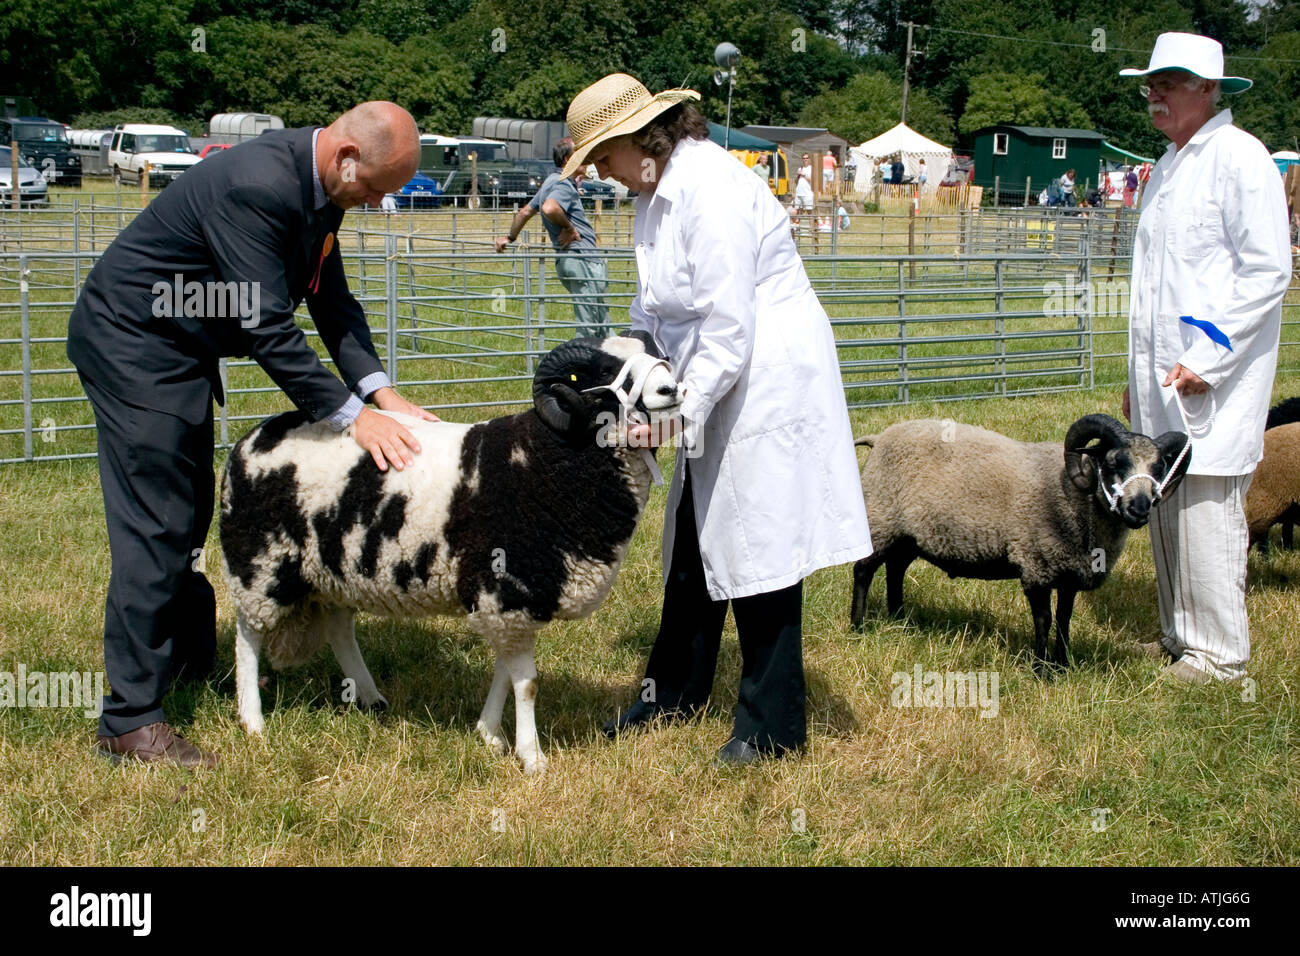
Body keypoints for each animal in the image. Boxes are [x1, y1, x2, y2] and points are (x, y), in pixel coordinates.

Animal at [219, 332, 681, 775]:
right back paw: (253, 721)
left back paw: (370, 698)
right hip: (260, 563)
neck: (544, 458)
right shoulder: (508, 592)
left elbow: (504, 672)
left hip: (332, 568)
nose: (671, 388)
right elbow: (526, 683)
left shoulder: (506, 603)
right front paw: (531, 758)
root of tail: (251, 438)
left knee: (338, 629)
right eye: (607, 372)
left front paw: (490, 735)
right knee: (248, 636)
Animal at [847, 416, 1190, 676]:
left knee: (896, 568)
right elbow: (1044, 620)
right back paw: (858, 627)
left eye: (1159, 468)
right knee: (864, 569)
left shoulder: (1069, 572)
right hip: (882, 516)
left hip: (909, 534)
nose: (1139, 510)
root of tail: (880, 437)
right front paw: (1041, 671)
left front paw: (1063, 665)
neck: (1071, 495)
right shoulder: (1036, 565)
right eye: (1113, 462)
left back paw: (899, 619)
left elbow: (1064, 619)